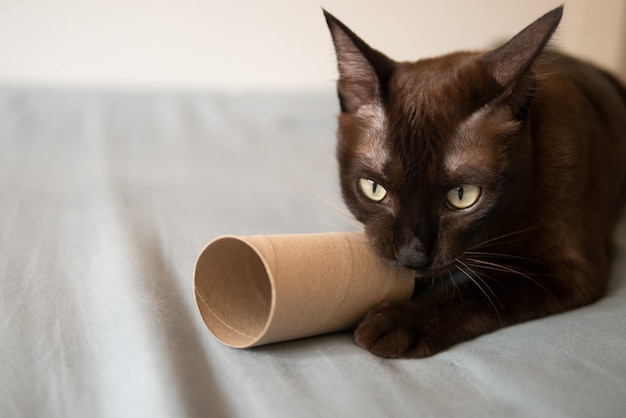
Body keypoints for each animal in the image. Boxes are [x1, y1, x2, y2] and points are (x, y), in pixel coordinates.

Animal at [322, 6, 624, 358]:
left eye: (463, 196)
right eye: (373, 189)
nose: (413, 256)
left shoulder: (571, 271)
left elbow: (483, 291)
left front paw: (395, 324)